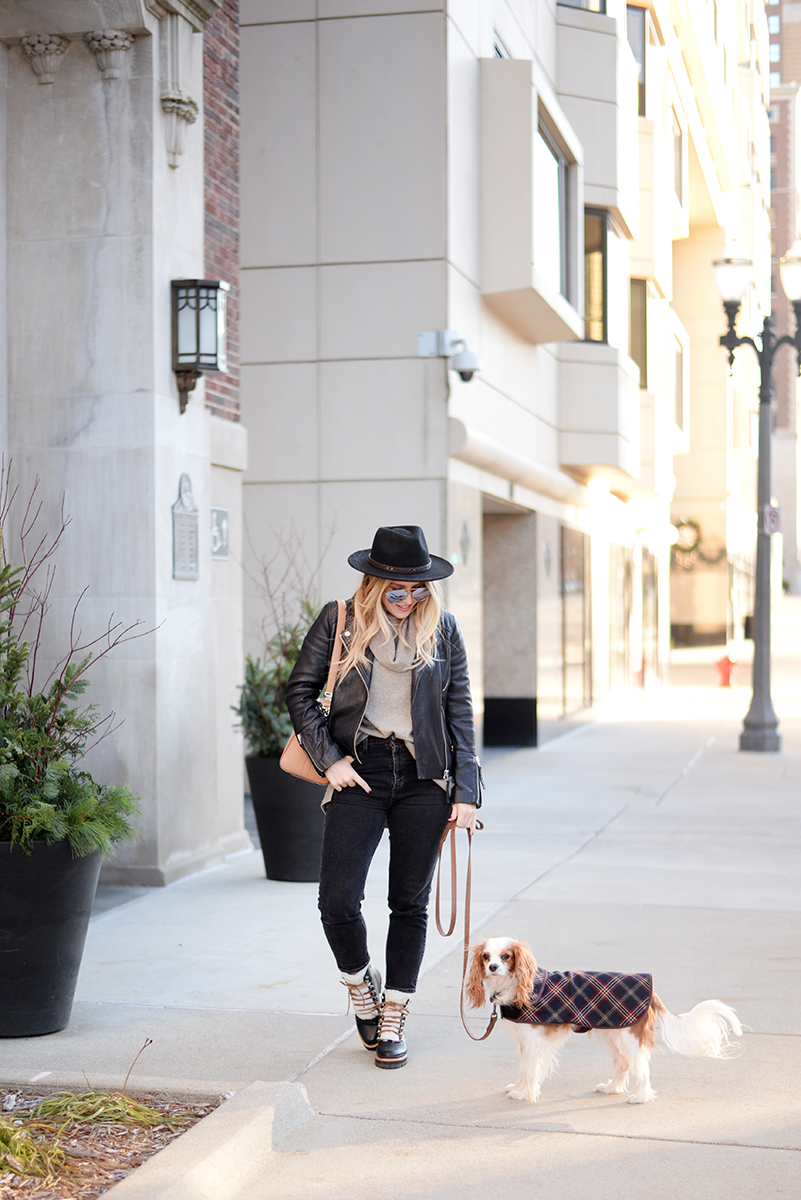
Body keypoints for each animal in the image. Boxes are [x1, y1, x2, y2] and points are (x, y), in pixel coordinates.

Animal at [465, 936, 743, 1104]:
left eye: (506, 957)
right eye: (486, 957)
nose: (492, 968)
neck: (515, 985)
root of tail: (651, 989)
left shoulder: (534, 1043)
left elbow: (532, 1069)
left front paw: (526, 1094)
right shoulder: (525, 1042)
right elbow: (524, 1067)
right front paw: (519, 1087)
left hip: (630, 1037)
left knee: (642, 1068)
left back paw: (641, 1097)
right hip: (614, 1033)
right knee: (625, 1064)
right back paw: (611, 1088)